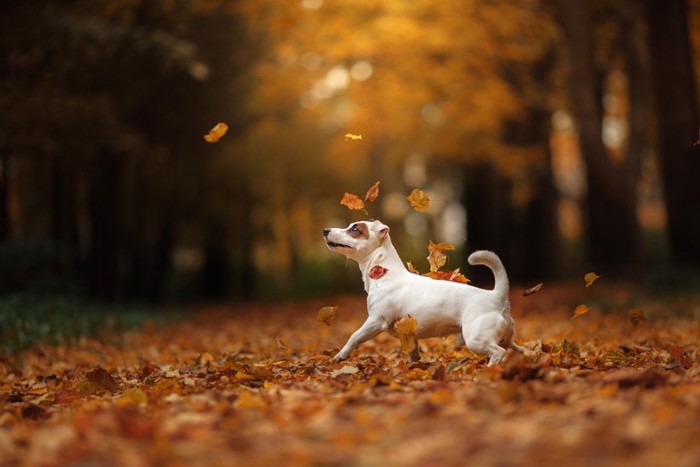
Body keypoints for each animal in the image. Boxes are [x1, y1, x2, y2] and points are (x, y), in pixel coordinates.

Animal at [322, 221, 520, 368]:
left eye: (355, 229)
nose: (326, 230)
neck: (384, 273)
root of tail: (497, 296)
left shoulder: (376, 320)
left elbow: (354, 336)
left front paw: (340, 355)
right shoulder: (409, 334)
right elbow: (412, 354)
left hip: (476, 339)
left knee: (499, 352)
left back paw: (489, 370)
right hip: (503, 338)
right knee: (514, 348)